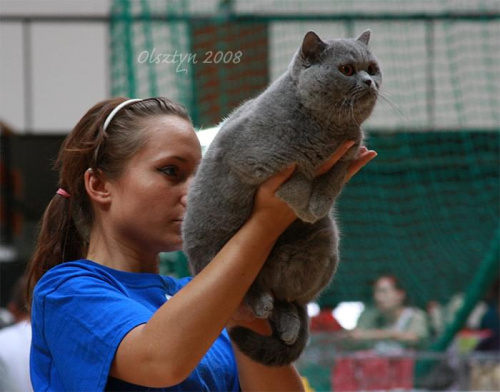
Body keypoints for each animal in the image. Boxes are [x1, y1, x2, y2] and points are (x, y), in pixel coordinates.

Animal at [182, 29, 380, 364]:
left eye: (372, 68)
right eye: (347, 70)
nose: (369, 81)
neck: (325, 128)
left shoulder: (351, 148)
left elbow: (333, 178)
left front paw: (318, 203)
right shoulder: (255, 160)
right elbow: (298, 177)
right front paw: (307, 204)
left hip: (324, 241)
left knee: (287, 299)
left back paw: (287, 321)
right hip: (216, 248)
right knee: (246, 289)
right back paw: (261, 302)